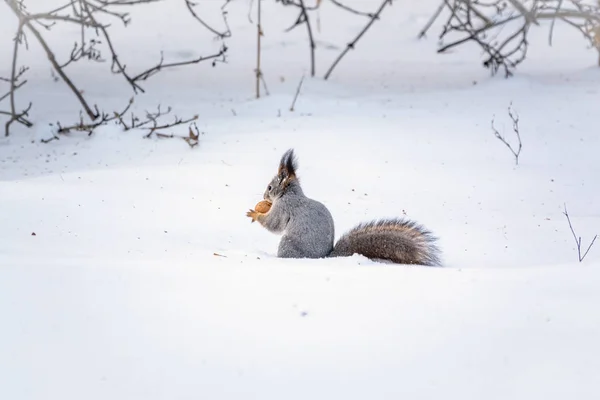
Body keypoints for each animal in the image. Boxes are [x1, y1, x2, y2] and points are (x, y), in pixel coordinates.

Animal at [245, 148, 440, 266]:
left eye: (270, 187)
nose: (264, 197)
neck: (291, 194)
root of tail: (325, 258)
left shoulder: (285, 207)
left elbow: (273, 224)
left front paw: (255, 214)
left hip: (288, 244)